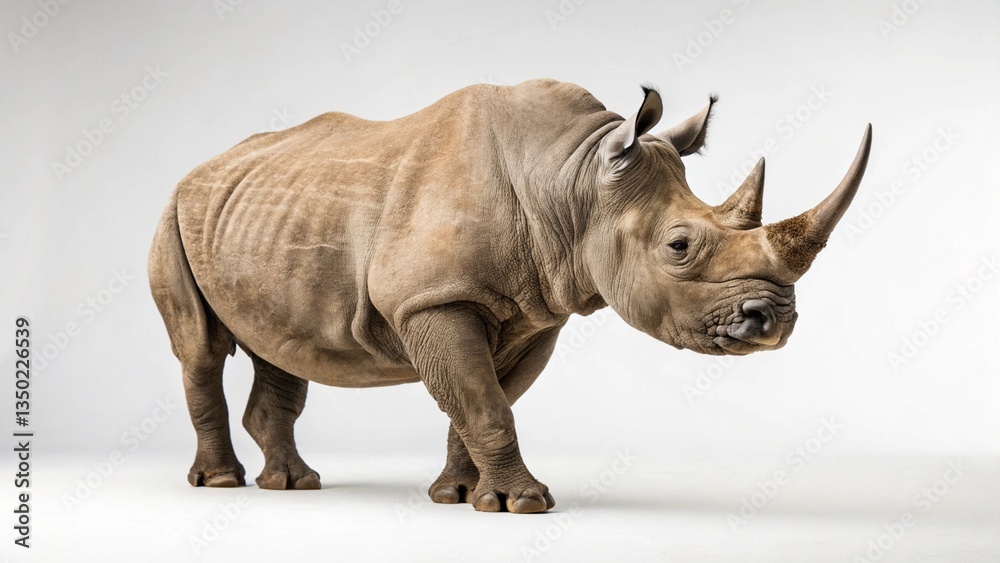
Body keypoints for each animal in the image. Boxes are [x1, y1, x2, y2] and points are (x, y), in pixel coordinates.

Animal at [148, 79, 871, 514]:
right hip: (176, 211)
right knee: (200, 349)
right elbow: (485, 403)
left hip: (262, 215)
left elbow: (482, 400)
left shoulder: (536, 311)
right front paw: (523, 505)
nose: (774, 320)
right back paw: (223, 483)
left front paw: (460, 495)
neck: (573, 179)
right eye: (679, 246)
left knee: (280, 346)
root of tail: (200, 168)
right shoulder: (433, 298)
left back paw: (293, 485)